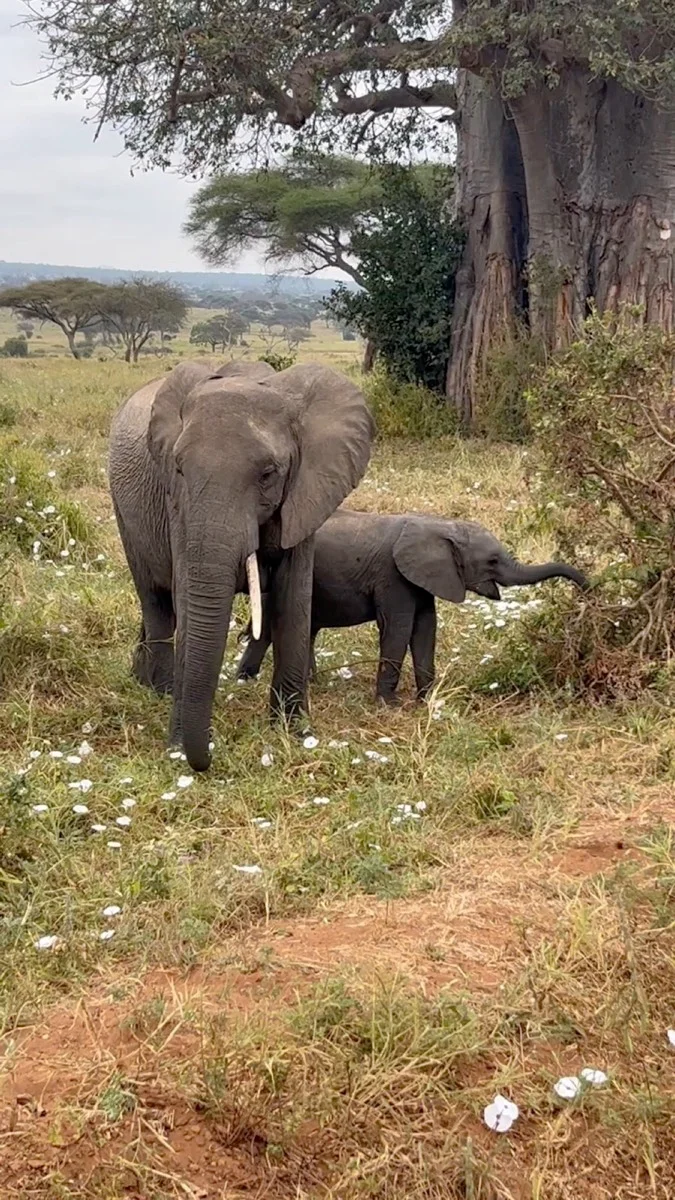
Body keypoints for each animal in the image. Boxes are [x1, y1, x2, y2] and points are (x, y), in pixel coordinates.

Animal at [108, 361, 374, 770]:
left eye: (268, 474)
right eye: (179, 469)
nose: (204, 759)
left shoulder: (305, 492)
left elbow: (294, 599)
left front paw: (295, 734)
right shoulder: (177, 505)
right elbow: (188, 601)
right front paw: (177, 747)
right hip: (124, 511)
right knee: (156, 600)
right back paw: (160, 690)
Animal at [236, 509, 589, 703]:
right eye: (491, 561)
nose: (587, 591)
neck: (441, 526)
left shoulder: (424, 578)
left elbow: (426, 628)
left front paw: (427, 700)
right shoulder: (394, 576)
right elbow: (399, 627)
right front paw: (389, 704)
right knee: (270, 630)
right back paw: (244, 681)